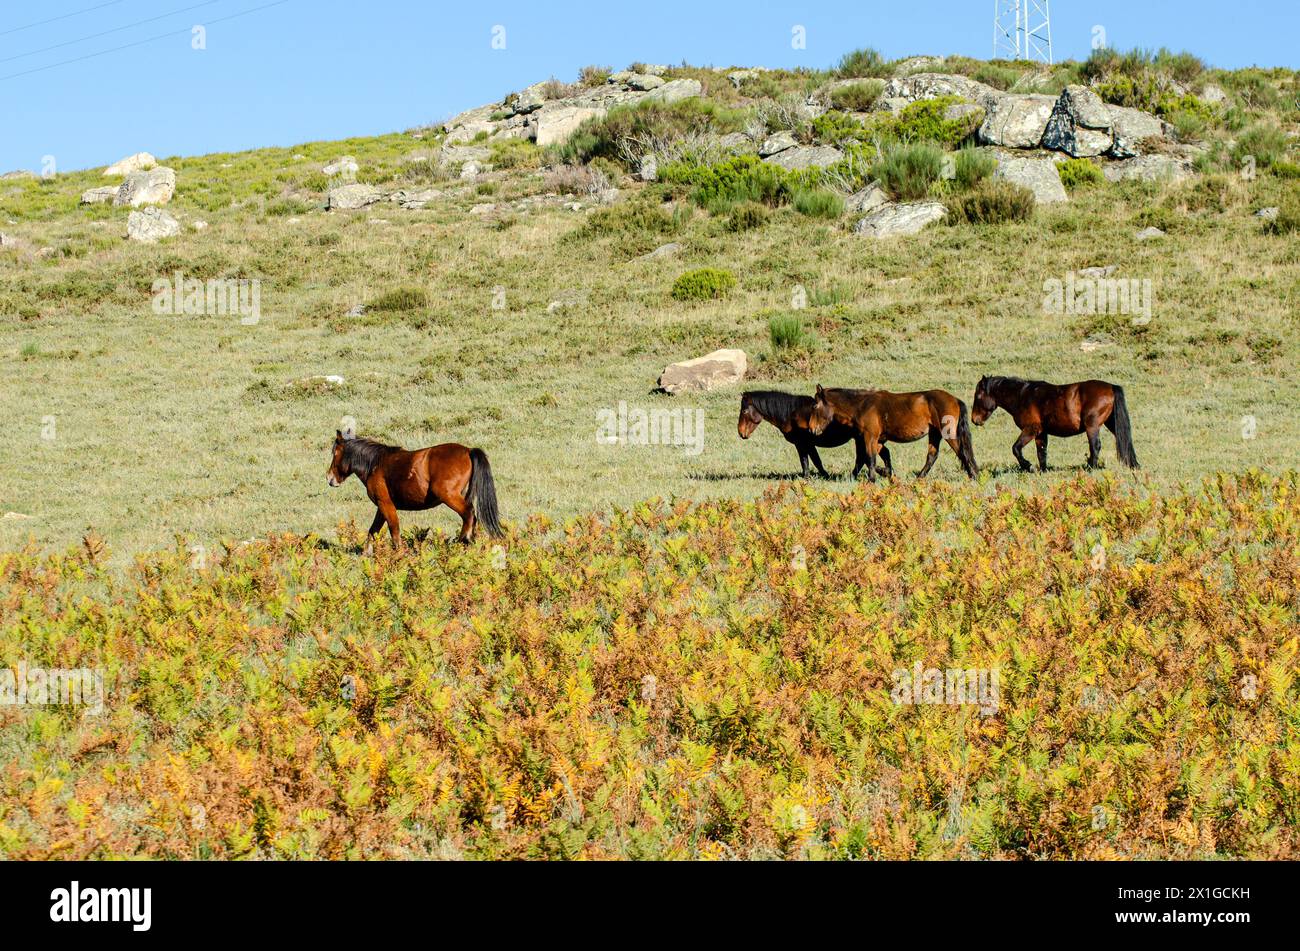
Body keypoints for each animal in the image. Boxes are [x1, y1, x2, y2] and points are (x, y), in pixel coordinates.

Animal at [327, 433, 504, 550]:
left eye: (335, 453)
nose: (329, 478)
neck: (376, 464)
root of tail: (468, 450)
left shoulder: (386, 504)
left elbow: (394, 531)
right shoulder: (381, 507)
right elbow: (373, 531)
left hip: (449, 496)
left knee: (469, 513)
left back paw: (463, 541)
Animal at [738, 387, 868, 475]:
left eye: (744, 411)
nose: (740, 432)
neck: (791, 414)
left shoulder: (803, 443)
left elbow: (810, 461)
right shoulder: (805, 444)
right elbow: (810, 461)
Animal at [806, 384, 977, 483]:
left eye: (814, 406)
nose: (811, 429)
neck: (861, 405)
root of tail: (954, 399)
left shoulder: (870, 437)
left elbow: (869, 459)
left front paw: (872, 479)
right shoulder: (878, 441)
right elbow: (876, 458)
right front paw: (887, 473)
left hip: (948, 434)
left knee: (962, 453)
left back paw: (973, 477)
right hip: (935, 434)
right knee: (932, 456)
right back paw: (919, 478)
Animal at [972, 374, 1144, 472]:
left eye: (978, 396)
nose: (975, 420)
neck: (1022, 396)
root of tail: (1110, 387)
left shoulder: (1031, 429)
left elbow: (1016, 449)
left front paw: (1028, 466)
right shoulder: (1041, 433)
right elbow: (1041, 453)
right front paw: (1043, 471)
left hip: (1092, 426)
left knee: (1095, 446)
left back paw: (1091, 468)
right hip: (1111, 424)